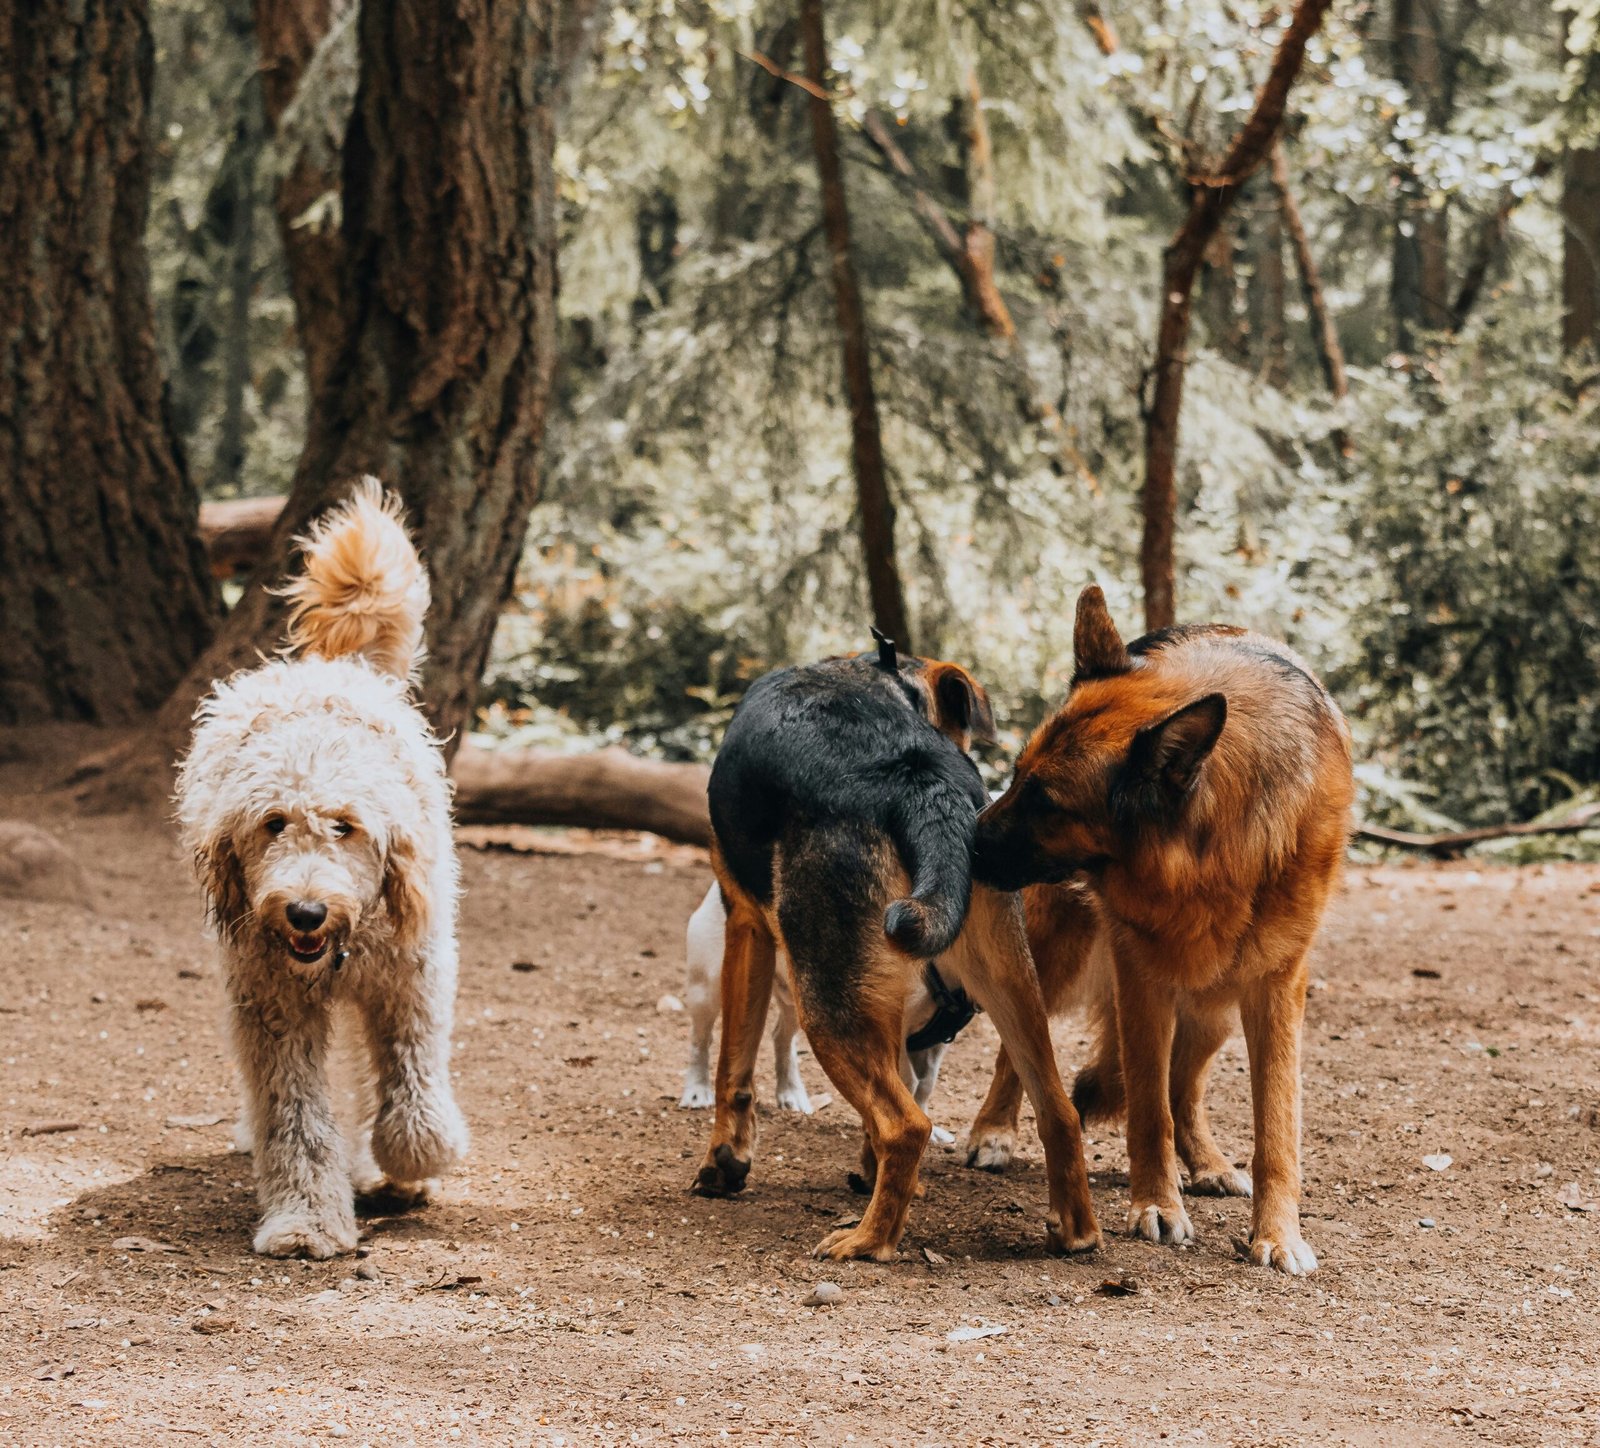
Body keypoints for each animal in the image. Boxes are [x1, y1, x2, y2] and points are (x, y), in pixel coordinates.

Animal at [181, 483, 470, 1254]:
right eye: (272, 824)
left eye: (346, 826)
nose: (306, 911)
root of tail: (329, 667)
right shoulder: (273, 1010)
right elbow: (295, 1120)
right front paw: (306, 1220)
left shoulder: (410, 981)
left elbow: (410, 1085)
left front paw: (410, 1158)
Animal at [694, 640, 1107, 1260]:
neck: (881, 675)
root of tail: (917, 779)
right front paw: (873, 1174)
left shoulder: (745, 925)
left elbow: (733, 1068)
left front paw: (725, 1161)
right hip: (1012, 982)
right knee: (1057, 1110)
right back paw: (1074, 1231)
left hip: (827, 1001)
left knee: (905, 1125)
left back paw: (868, 1240)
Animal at [966, 582, 1356, 1273]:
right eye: (1015, 778)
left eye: (1046, 802)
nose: (966, 840)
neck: (1214, 852)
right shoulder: (1141, 977)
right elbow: (1147, 1107)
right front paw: (1156, 1204)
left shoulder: (1277, 988)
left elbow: (1275, 1125)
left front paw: (1279, 1234)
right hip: (1057, 961)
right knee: (1020, 1051)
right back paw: (994, 1131)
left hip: (1213, 1008)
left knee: (1186, 1088)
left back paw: (1207, 1162)